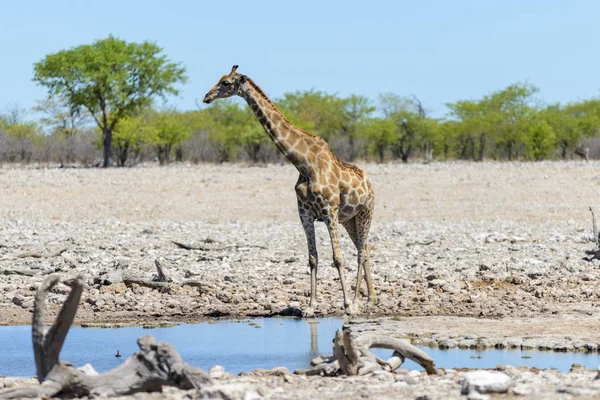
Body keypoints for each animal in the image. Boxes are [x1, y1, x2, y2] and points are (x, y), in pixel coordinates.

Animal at [206, 65, 376, 316]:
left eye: (226, 82)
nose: (206, 97)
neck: (303, 163)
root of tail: (370, 185)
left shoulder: (329, 212)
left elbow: (337, 258)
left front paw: (346, 305)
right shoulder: (305, 214)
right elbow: (313, 258)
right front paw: (310, 307)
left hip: (365, 212)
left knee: (361, 252)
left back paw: (357, 302)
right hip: (349, 219)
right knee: (363, 249)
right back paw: (370, 299)